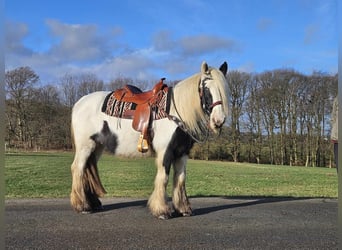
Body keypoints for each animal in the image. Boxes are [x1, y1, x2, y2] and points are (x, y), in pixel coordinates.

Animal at [69, 61, 230, 220]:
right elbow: (163, 178)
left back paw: (93, 204)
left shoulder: (182, 153)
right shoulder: (166, 152)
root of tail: (79, 103)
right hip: (85, 146)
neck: (174, 112)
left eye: (223, 90)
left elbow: (180, 179)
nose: (219, 120)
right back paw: (82, 206)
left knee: (87, 169)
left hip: (97, 146)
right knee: (78, 169)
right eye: (206, 89)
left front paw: (183, 209)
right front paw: (161, 211)